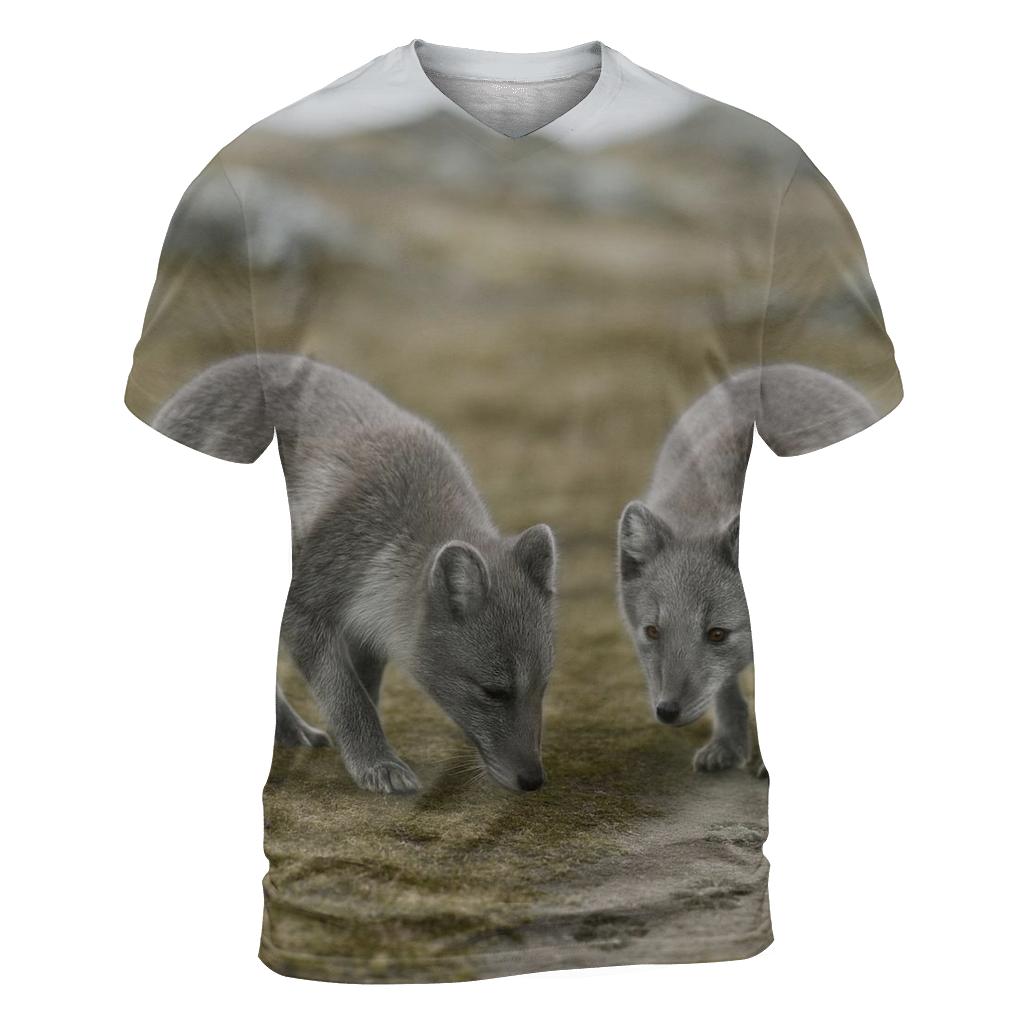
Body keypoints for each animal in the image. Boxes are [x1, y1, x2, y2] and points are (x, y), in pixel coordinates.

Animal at [153, 354, 557, 794]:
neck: (394, 534)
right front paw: (377, 764)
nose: (533, 780)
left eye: (543, 686)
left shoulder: (369, 626)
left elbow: (366, 691)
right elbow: (348, 698)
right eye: (493, 691)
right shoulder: (304, 608)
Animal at [617, 364, 877, 772]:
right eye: (652, 631)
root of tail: (779, 367)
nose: (667, 711)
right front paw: (727, 746)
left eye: (717, 634)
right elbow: (728, 697)